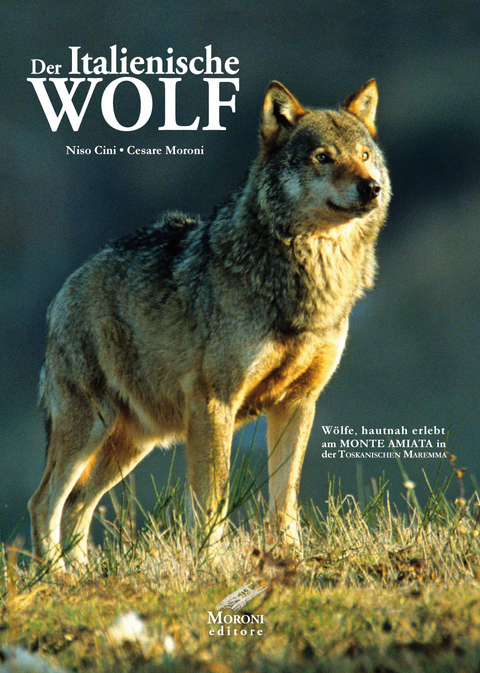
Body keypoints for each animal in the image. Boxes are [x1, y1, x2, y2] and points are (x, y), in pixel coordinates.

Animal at [29, 79, 390, 567]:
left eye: (365, 155)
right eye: (323, 157)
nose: (372, 187)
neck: (306, 280)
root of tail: (66, 286)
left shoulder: (298, 402)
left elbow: (284, 499)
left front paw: (289, 560)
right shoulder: (214, 403)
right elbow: (212, 500)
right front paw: (212, 566)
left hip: (133, 443)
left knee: (77, 506)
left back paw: (83, 576)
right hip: (91, 427)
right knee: (45, 502)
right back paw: (59, 577)